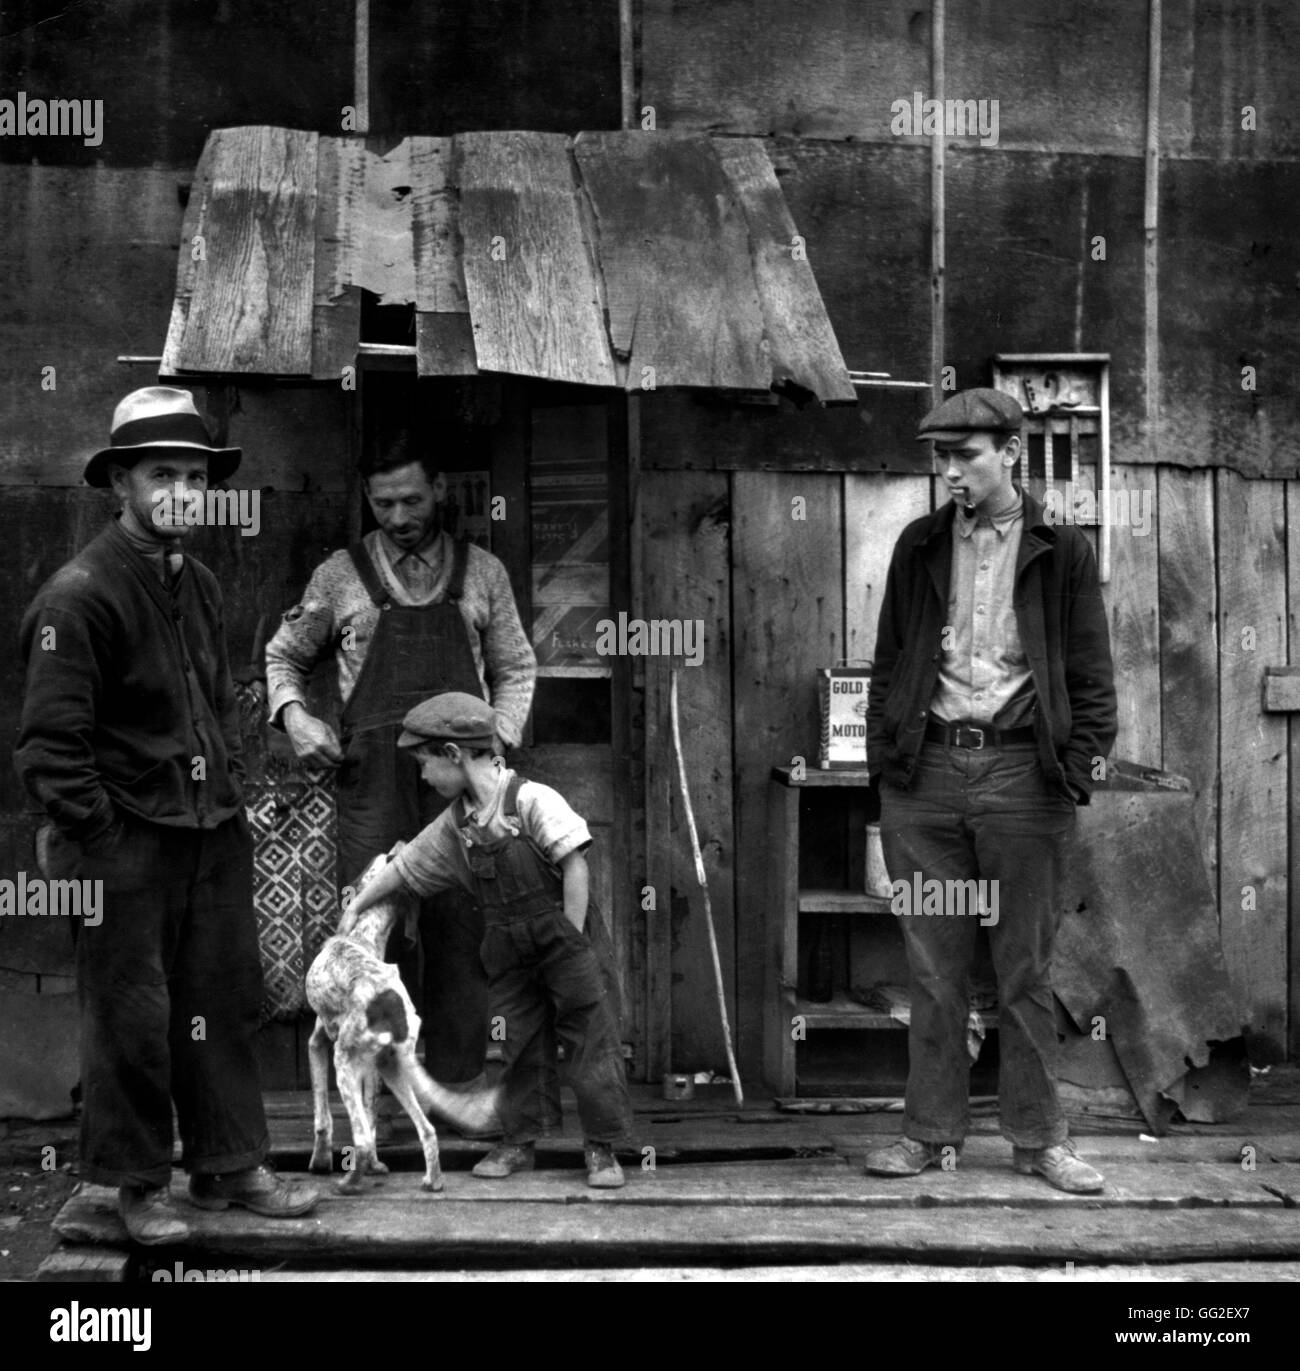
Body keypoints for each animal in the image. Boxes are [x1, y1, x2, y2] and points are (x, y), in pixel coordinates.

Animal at [307, 844, 499, 1190]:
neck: (363, 934)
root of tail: (389, 1002)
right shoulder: (371, 1068)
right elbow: (370, 1113)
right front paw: (375, 1166)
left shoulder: (317, 1042)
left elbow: (323, 1119)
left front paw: (320, 1162)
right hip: (392, 1065)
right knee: (427, 1130)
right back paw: (431, 1181)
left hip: (344, 1061)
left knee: (361, 1139)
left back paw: (348, 1184)